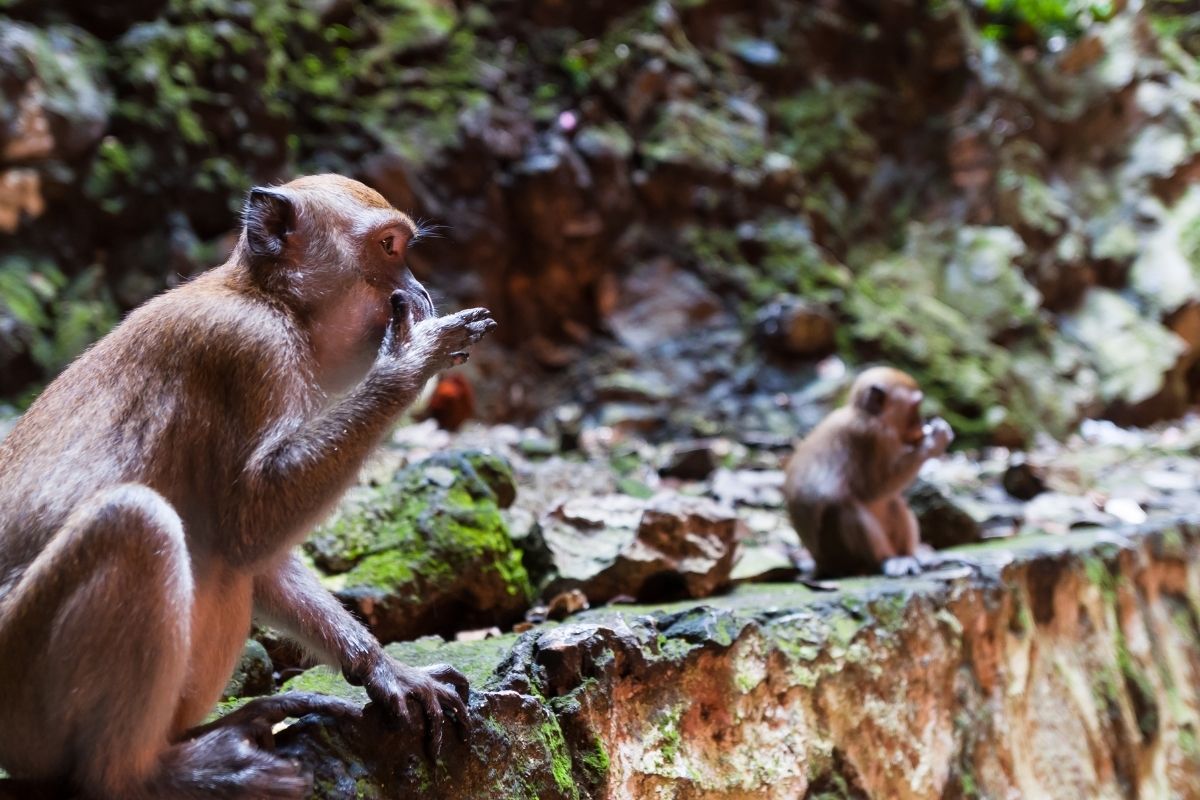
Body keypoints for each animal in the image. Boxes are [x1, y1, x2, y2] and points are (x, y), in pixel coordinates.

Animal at [0, 176, 496, 800]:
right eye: (389, 247)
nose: (419, 288)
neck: (267, 298)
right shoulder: (248, 352)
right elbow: (249, 522)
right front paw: (411, 360)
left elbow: (259, 555)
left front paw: (388, 671)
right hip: (24, 692)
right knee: (136, 523)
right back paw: (153, 772)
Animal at [787, 367, 955, 578]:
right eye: (916, 406)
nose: (921, 422)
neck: (867, 415)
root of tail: (819, 565)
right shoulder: (872, 437)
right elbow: (871, 489)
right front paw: (935, 441)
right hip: (835, 556)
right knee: (844, 507)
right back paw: (887, 561)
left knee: (893, 501)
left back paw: (908, 557)